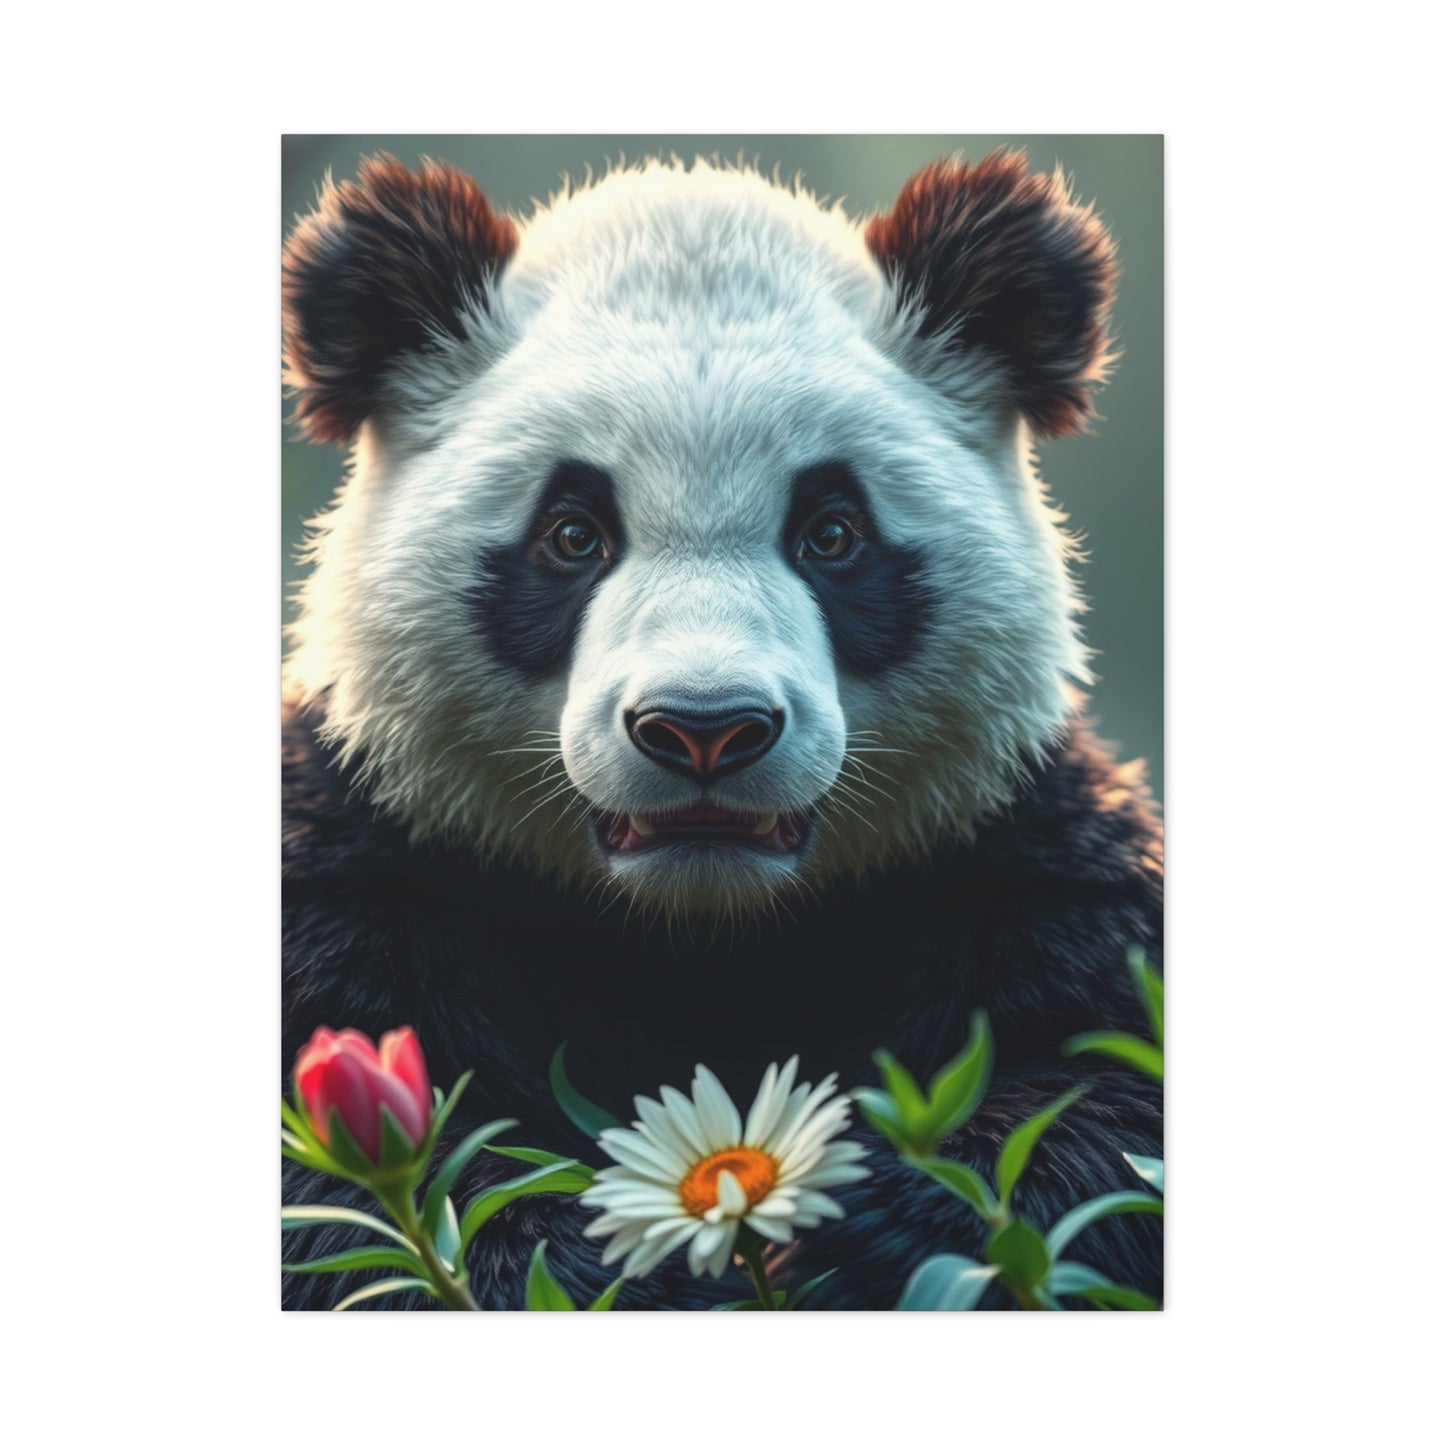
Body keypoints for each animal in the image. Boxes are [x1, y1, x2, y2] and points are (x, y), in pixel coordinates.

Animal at [281, 150, 1163, 1309]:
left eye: (831, 533)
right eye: (572, 534)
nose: (704, 728)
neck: (699, 933)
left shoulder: (1011, 847)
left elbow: (1112, 1087)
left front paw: (876, 1218)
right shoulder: (363, 852)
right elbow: (342, 1196)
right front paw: (602, 1257)